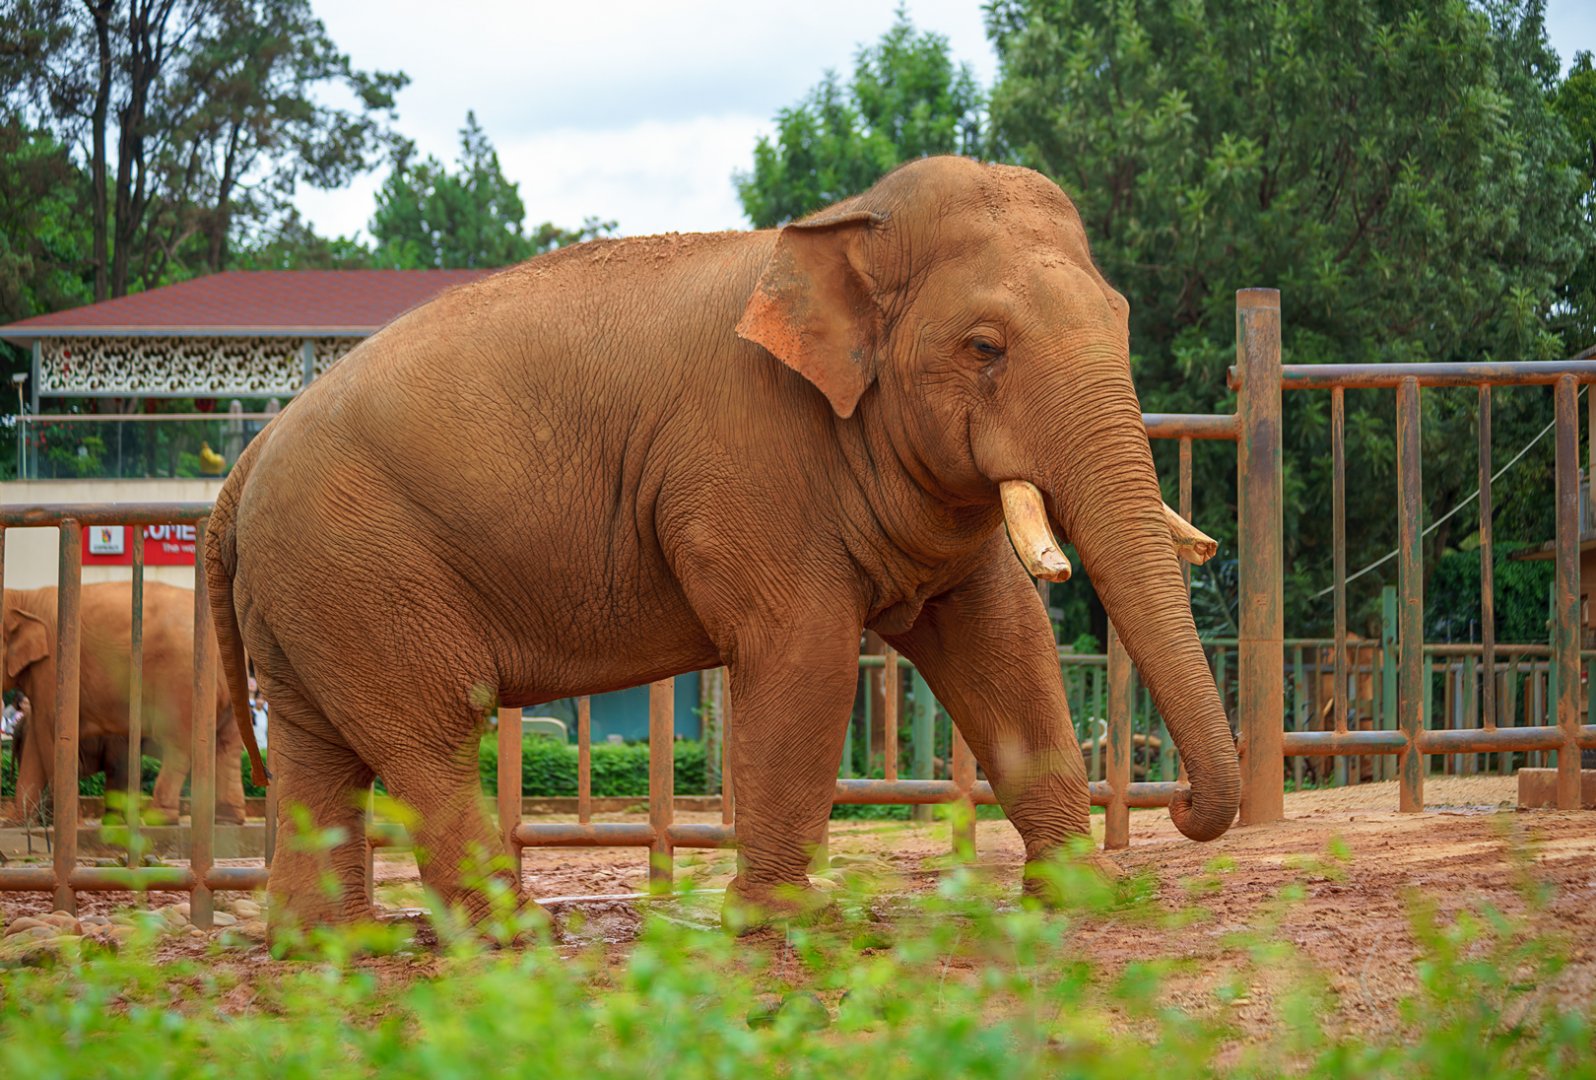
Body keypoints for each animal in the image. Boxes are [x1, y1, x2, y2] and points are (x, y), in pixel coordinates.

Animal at [3, 582, 246, 825]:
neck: (23, 598)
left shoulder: (53, 666)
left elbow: (51, 732)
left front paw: (80, 824)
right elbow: (38, 740)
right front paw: (17, 823)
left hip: (181, 680)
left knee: (180, 747)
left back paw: (160, 819)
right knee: (228, 747)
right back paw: (228, 820)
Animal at [207, 155, 1241, 930]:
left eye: (1123, 319)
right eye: (984, 347)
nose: (1185, 807)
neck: (839, 227)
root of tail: (244, 459)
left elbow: (1004, 640)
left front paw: (1086, 894)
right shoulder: (745, 462)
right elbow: (805, 651)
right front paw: (783, 918)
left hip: (313, 591)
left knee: (318, 746)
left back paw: (330, 945)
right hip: (365, 572)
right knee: (429, 735)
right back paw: (515, 934)